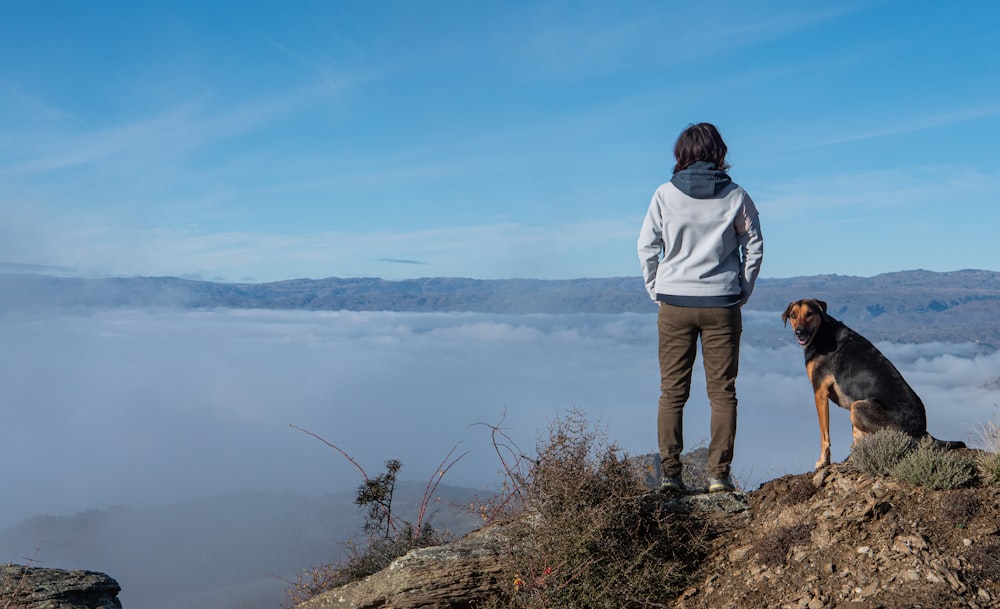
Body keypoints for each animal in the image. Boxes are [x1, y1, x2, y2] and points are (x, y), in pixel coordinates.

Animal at [780, 296, 960, 468]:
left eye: (810, 313)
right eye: (793, 316)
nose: (799, 333)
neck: (822, 332)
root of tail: (922, 431)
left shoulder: (820, 393)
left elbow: (824, 434)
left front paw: (823, 461)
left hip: (858, 406)